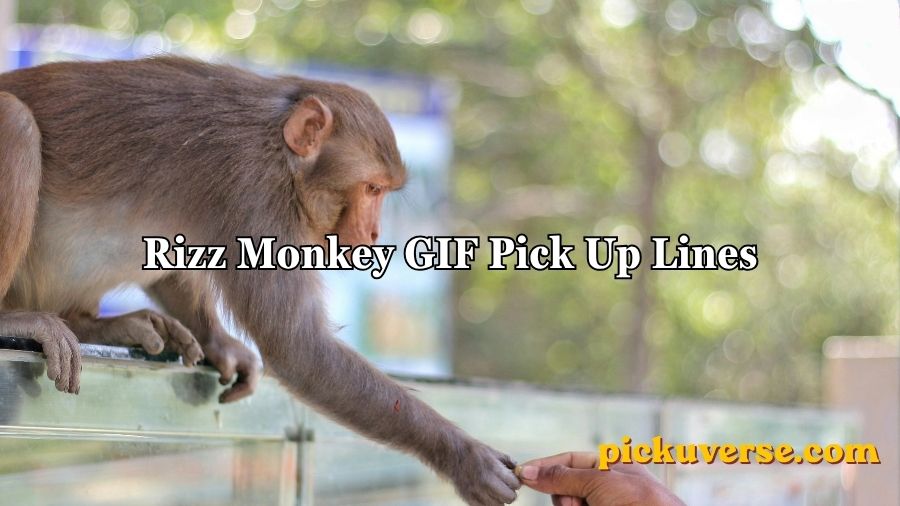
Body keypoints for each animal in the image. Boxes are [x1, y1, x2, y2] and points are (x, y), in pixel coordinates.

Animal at [0, 57, 519, 505]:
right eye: (372, 188)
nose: (374, 233)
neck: (282, 153)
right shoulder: (256, 193)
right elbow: (296, 346)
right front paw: (462, 456)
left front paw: (222, 344)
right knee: (16, 123)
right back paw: (21, 321)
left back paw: (100, 324)